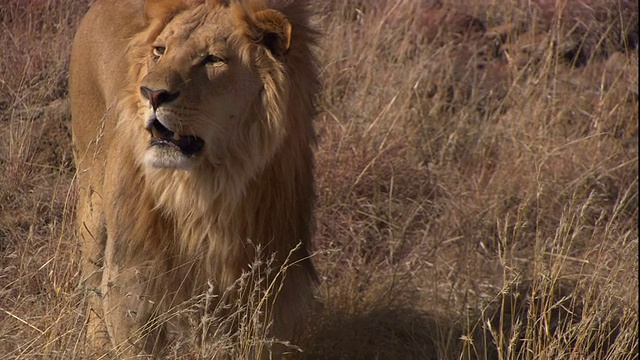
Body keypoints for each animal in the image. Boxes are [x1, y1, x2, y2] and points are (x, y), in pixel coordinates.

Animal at [69, 0, 320, 356]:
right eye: (160, 51)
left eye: (212, 59)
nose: (151, 93)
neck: (202, 194)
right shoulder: (130, 286)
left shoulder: (265, 297)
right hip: (91, 199)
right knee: (91, 281)